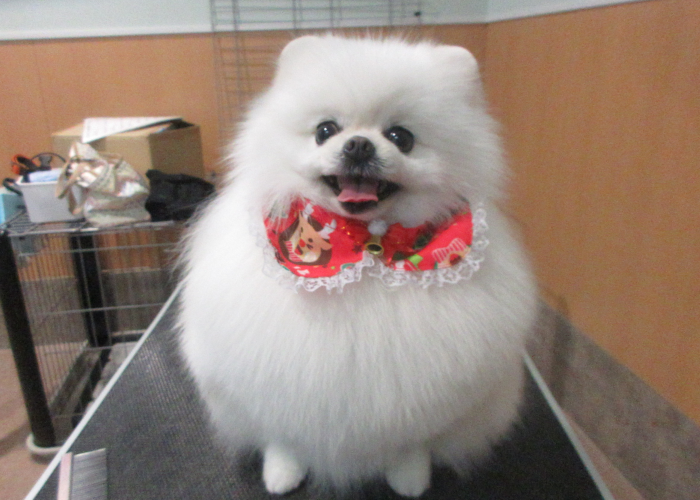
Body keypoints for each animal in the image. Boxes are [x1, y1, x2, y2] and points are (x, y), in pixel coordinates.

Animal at [179, 35, 538, 497]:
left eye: (401, 137)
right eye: (325, 130)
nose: (359, 144)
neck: (365, 249)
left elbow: (411, 443)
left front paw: (409, 477)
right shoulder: (269, 380)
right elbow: (283, 434)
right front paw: (283, 471)